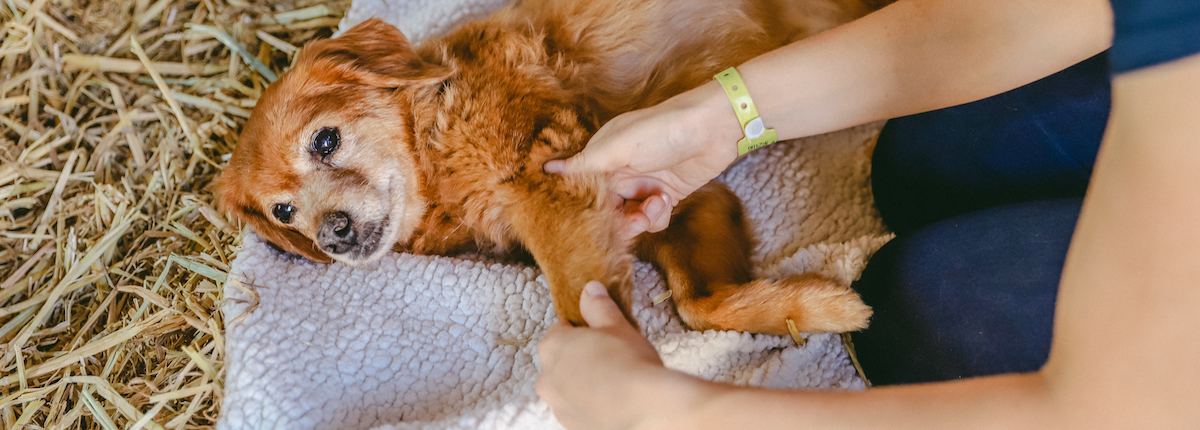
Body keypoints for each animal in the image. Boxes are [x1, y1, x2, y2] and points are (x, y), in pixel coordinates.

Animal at [216, 0, 878, 333]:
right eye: (283, 212)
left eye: (325, 141)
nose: (332, 233)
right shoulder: (678, 201)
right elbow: (698, 306)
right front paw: (814, 307)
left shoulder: (545, 171)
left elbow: (581, 301)